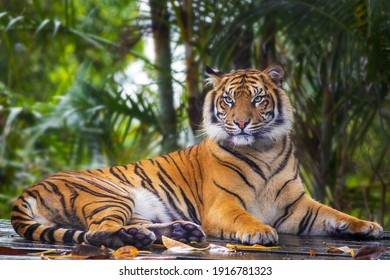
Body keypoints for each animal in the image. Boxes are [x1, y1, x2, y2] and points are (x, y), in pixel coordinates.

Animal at [9, 63, 384, 247]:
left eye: (258, 99)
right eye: (229, 100)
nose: (242, 122)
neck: (264, 147)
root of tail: (27, 190)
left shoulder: (297, 206)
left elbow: (334, 213)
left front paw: (367, 226)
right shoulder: (223, 205)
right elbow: (245, 218)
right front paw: (260, 231)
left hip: (136, 207)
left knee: (132, 226)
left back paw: (178, 232)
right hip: (110, 194)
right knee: (96, 232)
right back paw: (137, 239)